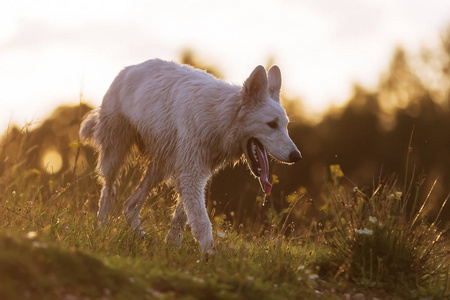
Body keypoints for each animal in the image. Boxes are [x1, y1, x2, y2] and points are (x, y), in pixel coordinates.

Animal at [79, 59, 300, 255]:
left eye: (285, 126)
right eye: (271, 124)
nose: (297, 156)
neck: (220, 117)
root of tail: (128, 69)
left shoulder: (195, 174)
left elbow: (181, 217)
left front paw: (173, 246)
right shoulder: (191, 175)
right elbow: (201, 221)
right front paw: (209, 255)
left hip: (159, 168)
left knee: (130, 205)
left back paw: (141, 236)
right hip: (116, 154)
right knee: (109, 192)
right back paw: (102, 226)